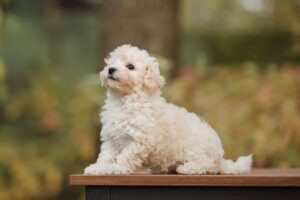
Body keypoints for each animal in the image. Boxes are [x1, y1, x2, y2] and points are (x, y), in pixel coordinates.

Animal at [83, 44, 252, 174]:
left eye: (130, 66)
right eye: (111, 63)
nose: (110, 69)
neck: (124, 100)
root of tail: (220, 158)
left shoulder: (140, 139)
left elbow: (126, 156)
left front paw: (116, 168)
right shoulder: (111, 137)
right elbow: (105, 155)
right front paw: (98, 168)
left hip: (196, 148)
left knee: (207, 166)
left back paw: (187, 168)